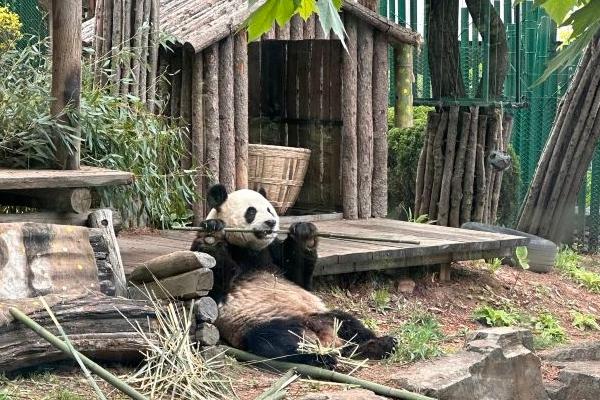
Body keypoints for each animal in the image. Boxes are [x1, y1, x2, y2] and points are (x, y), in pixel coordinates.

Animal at [192, 183, 396, 368]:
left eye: (269, 209)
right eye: (251, 212)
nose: (271, 222)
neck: (249, 249)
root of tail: (324, 337)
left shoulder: (273, 253)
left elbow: (299, 278)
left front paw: (305, 234)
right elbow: (214, 286)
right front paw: (212, 236)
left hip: (321, 315)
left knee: (348, 323)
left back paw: (380, 345)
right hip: (258, 324)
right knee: (277, 342)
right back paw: (321, 358)